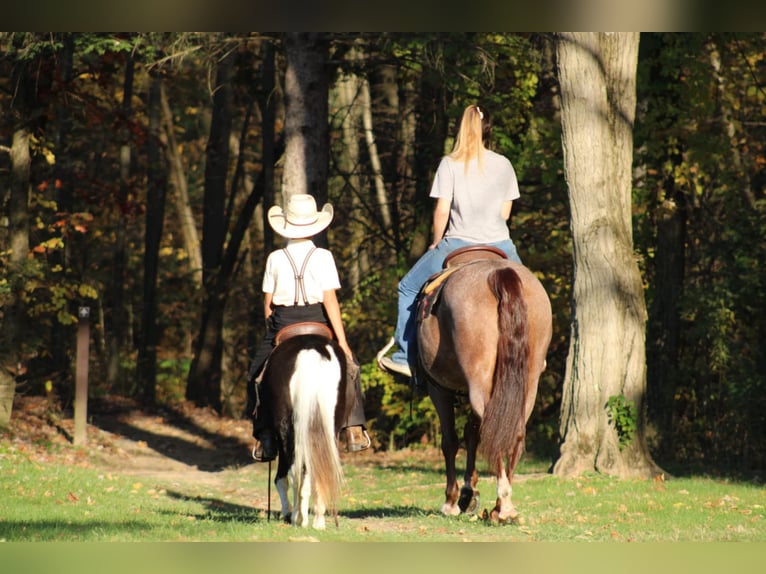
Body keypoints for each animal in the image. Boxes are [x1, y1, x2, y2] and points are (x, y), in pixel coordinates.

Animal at [258, 330, 354, 528]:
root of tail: (311, 351)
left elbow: (282, 478)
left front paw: (288, 513)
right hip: (327, 427)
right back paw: (316, 520)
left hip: (288, 428)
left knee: (296, 471)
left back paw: (298, 517)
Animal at [420, 254, 552, 524]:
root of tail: (498, 272)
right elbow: (472, 435)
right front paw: (468, 493)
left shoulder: (438, 388)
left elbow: (451, 441)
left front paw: (452, 500)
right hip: (527, 384)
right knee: (513, 432)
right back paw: (503, 505)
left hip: (477, 383)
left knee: (494, 431)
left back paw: (503, 506)